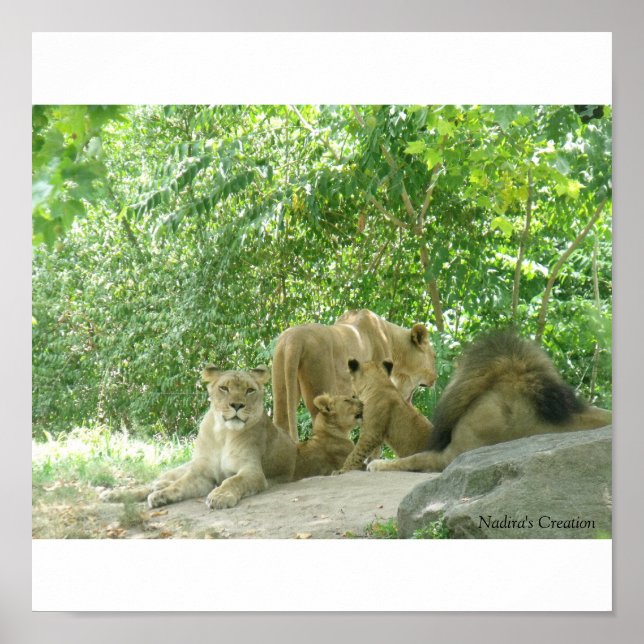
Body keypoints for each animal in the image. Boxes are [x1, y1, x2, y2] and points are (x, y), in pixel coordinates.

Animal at [101, 365, 296, 509]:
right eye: (224, 388)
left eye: (249, 390)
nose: (237, 405)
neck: (223, 434)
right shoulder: (201, 473)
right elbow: (179, 485)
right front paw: (161, 496)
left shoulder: (252, 471)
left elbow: (232, 481)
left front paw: (220, 496)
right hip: (183, 467)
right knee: (153, 483)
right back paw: (115, 494)